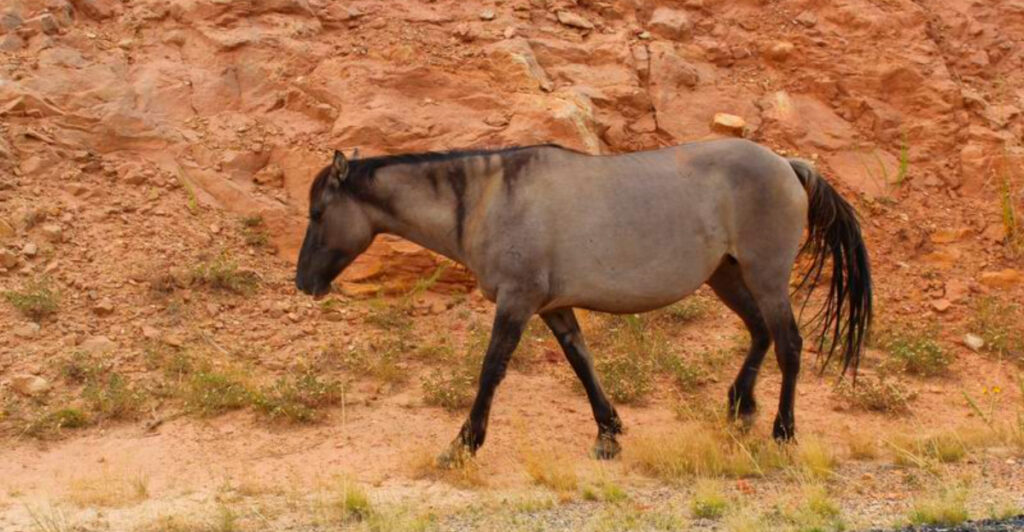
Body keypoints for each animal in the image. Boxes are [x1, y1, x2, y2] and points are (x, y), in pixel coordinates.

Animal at [295, 139, 872, 466]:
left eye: (319, 212)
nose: (303, 282)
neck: (490, 200)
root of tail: (787, 164)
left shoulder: (518, 301)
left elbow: (491, 370)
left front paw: (462, 445)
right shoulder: (552, 306)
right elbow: (581, 362)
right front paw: (609, 434)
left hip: (766, 276)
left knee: (789, 344)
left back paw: (782, 431)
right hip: (727, 276)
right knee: (760, 333)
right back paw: (739, 408)